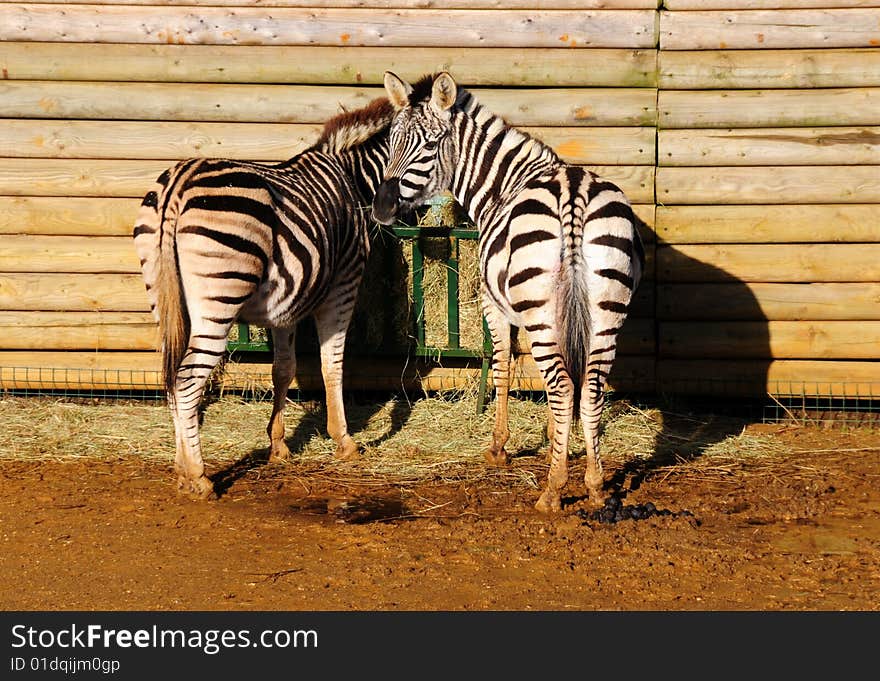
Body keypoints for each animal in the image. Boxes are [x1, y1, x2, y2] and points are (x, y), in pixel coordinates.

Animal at [133, 95, 392, 496]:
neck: (350, 177)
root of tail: (180, 181)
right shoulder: (343, 284)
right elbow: (332, 364)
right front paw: (344, 441)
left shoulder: (285, 304)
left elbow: (283, 368)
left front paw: (278, 445)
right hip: (220, 294)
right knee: (187, 379)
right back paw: (198, 475)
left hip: (163, 296)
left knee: (171, 373)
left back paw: (180, 467)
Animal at [368, 71, 644, 512]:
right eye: (392, 143)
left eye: (429, 145)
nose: (381, 208)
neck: (506, 183)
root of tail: (573, 193)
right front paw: (556, 440)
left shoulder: (494, 304)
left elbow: (501, 366)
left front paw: (499, 446)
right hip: (605, 311)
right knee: (589, 387)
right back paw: (596, 486)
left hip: (544, 309)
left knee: (563, 385)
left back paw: (552, 490)